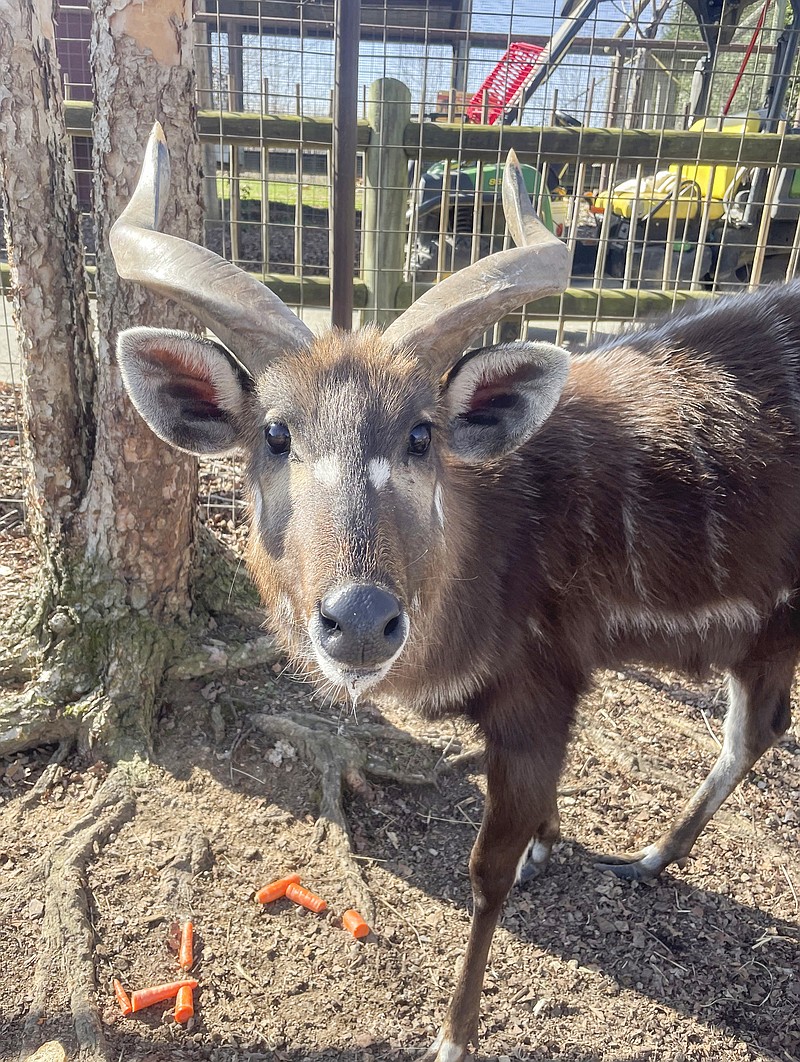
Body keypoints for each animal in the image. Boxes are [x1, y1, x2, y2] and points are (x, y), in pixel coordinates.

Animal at [111, 124, 799, 1062]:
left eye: (421, 434)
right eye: (276, 434)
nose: (362, 622)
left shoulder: (538, 690)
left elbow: (485, 873)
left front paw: (455, 1033)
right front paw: (551, 847)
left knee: (756, 729)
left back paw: (650, 857)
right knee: (762, 727)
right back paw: (652, 858)